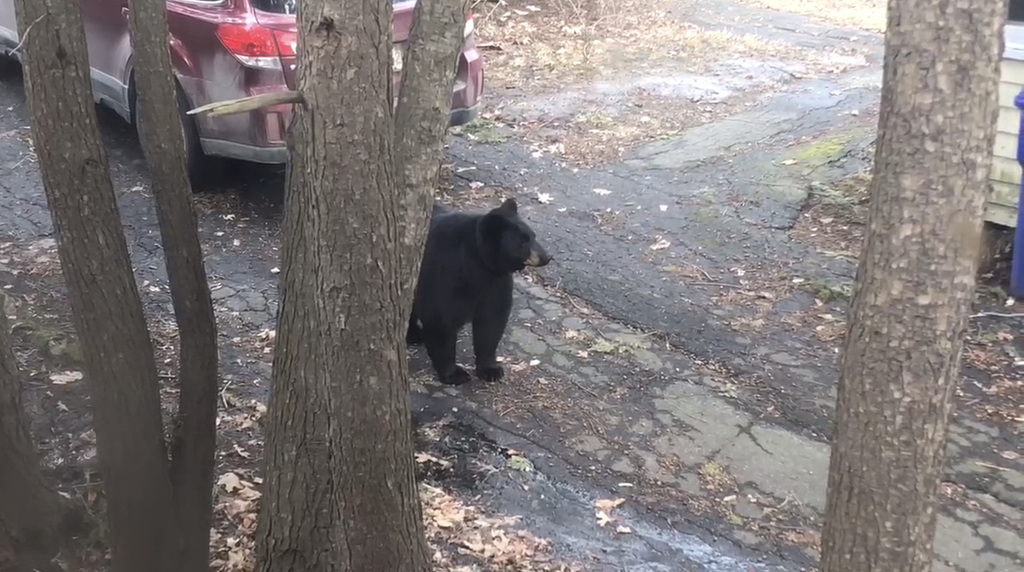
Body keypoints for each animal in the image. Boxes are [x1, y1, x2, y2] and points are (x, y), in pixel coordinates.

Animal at [407, 198, 552, 386]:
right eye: (523, 241)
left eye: (533, 235)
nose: (546, 257)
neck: (477, 262)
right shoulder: (444, 275)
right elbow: (440, 320)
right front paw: (455, 374)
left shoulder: (495, 282)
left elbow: (491, 321)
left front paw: (491, 369)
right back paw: (414, 334)